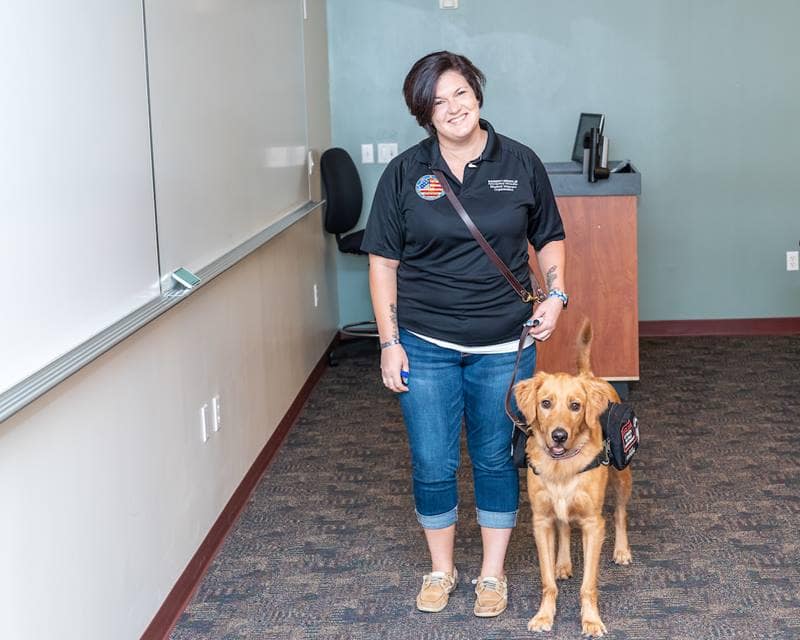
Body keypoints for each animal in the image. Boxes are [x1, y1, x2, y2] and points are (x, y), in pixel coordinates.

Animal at [516, 318, 636, 636]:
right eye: (545, 403)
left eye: (575, 405)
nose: (559, 435)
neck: (562, 465)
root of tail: (589, 376)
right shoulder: (541, 521)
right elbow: (547, 581)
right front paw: (544, 615)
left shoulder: (593, 525)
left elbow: (588, 585)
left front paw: (591, 620)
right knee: (564, 528)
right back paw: (563, 562)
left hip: (622, 476)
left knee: (620, 513)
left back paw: (622, 550)